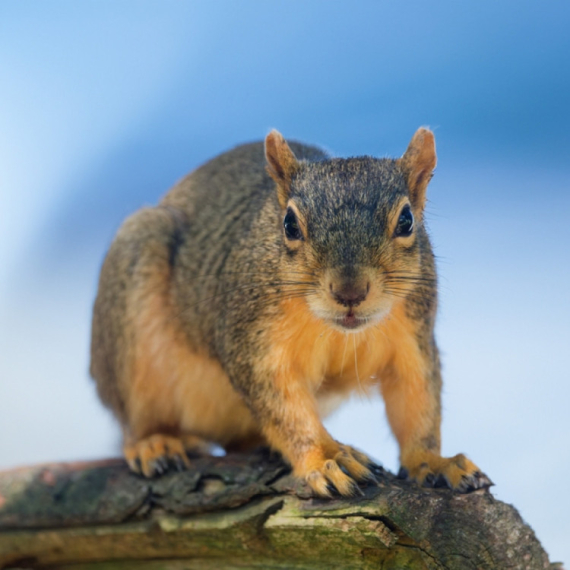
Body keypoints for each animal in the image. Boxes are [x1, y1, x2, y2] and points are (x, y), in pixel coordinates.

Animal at [91, 127, 490, 492]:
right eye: (289, 224)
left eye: (406, 220)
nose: (349, 291)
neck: (336, 330)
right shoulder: (251, 340)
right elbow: (284, 406)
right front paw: (328, 458)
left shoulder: (414, 334)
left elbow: (416, 398)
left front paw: (433, 460)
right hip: (133, 306)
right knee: (138, 421)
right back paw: (155, 442)